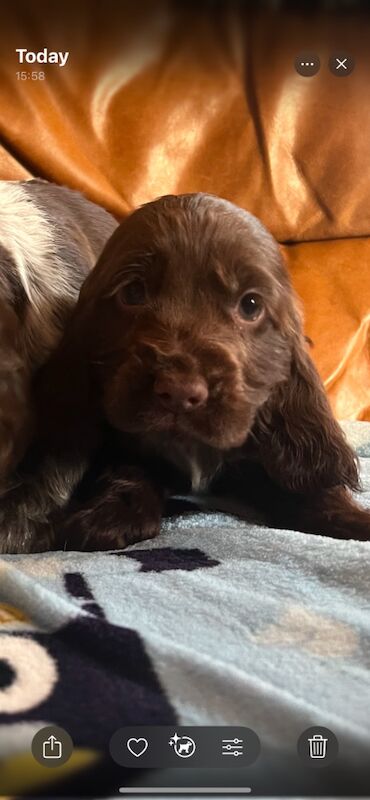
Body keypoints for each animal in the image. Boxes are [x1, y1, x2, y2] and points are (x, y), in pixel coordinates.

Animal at [1, 194, 368, 552]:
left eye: (250, 305)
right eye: (133, 292)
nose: (179, 391)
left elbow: (302, 485)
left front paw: (351, 518)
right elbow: (131, 471)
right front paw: (108, 518)